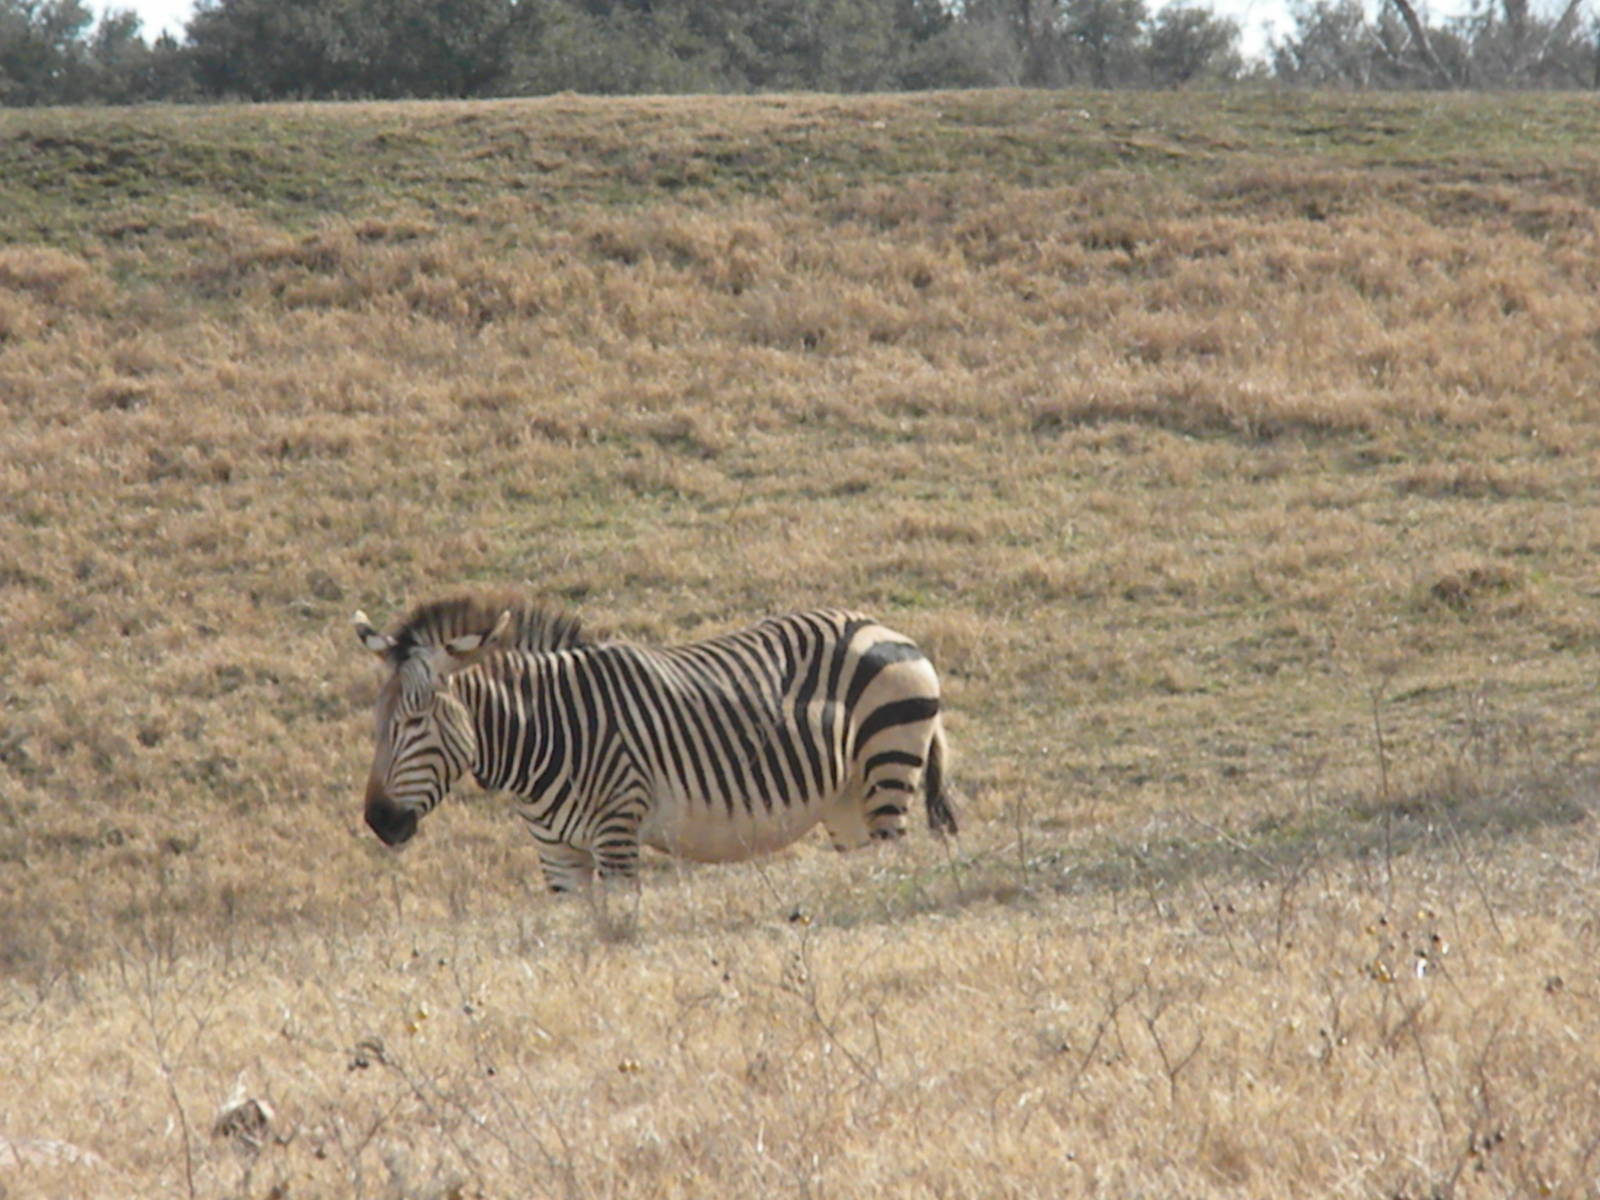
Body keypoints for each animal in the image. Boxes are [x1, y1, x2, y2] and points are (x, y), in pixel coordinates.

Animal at [352, 592, 956, 891]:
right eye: (378, 722)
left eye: (416, 720)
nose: (379, 821)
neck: (547, 730)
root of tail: (884, 627)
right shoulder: (557, 857)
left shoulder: (617, 833)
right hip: (847, 802)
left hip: (887, 767)